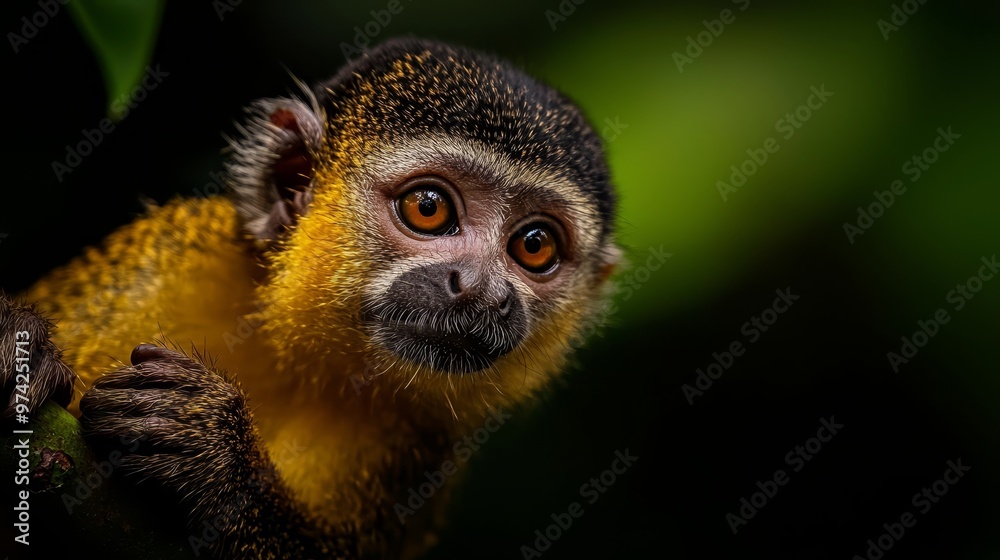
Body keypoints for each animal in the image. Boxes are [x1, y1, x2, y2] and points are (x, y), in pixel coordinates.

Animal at [3, 37, 620, 558]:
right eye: (428, 208)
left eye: (534, 246)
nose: (480, 291)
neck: (292, 351)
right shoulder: (167, 261)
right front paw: (22, 344)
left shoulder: (416, 448)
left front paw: (216, 462)